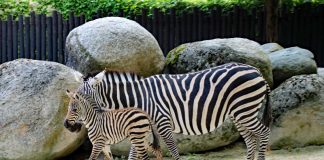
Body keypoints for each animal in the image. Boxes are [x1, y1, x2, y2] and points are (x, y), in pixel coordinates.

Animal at [73, 62, 270, 160]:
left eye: (82, 99)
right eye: (73, 98)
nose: (70, 126)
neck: (140, 97)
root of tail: (257, 71)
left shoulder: (162, 122)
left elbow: (174, 151)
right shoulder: (140, 127)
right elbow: (133, 154)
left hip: (245, 109)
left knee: (263, 132)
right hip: (239, 113)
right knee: (250, 138)